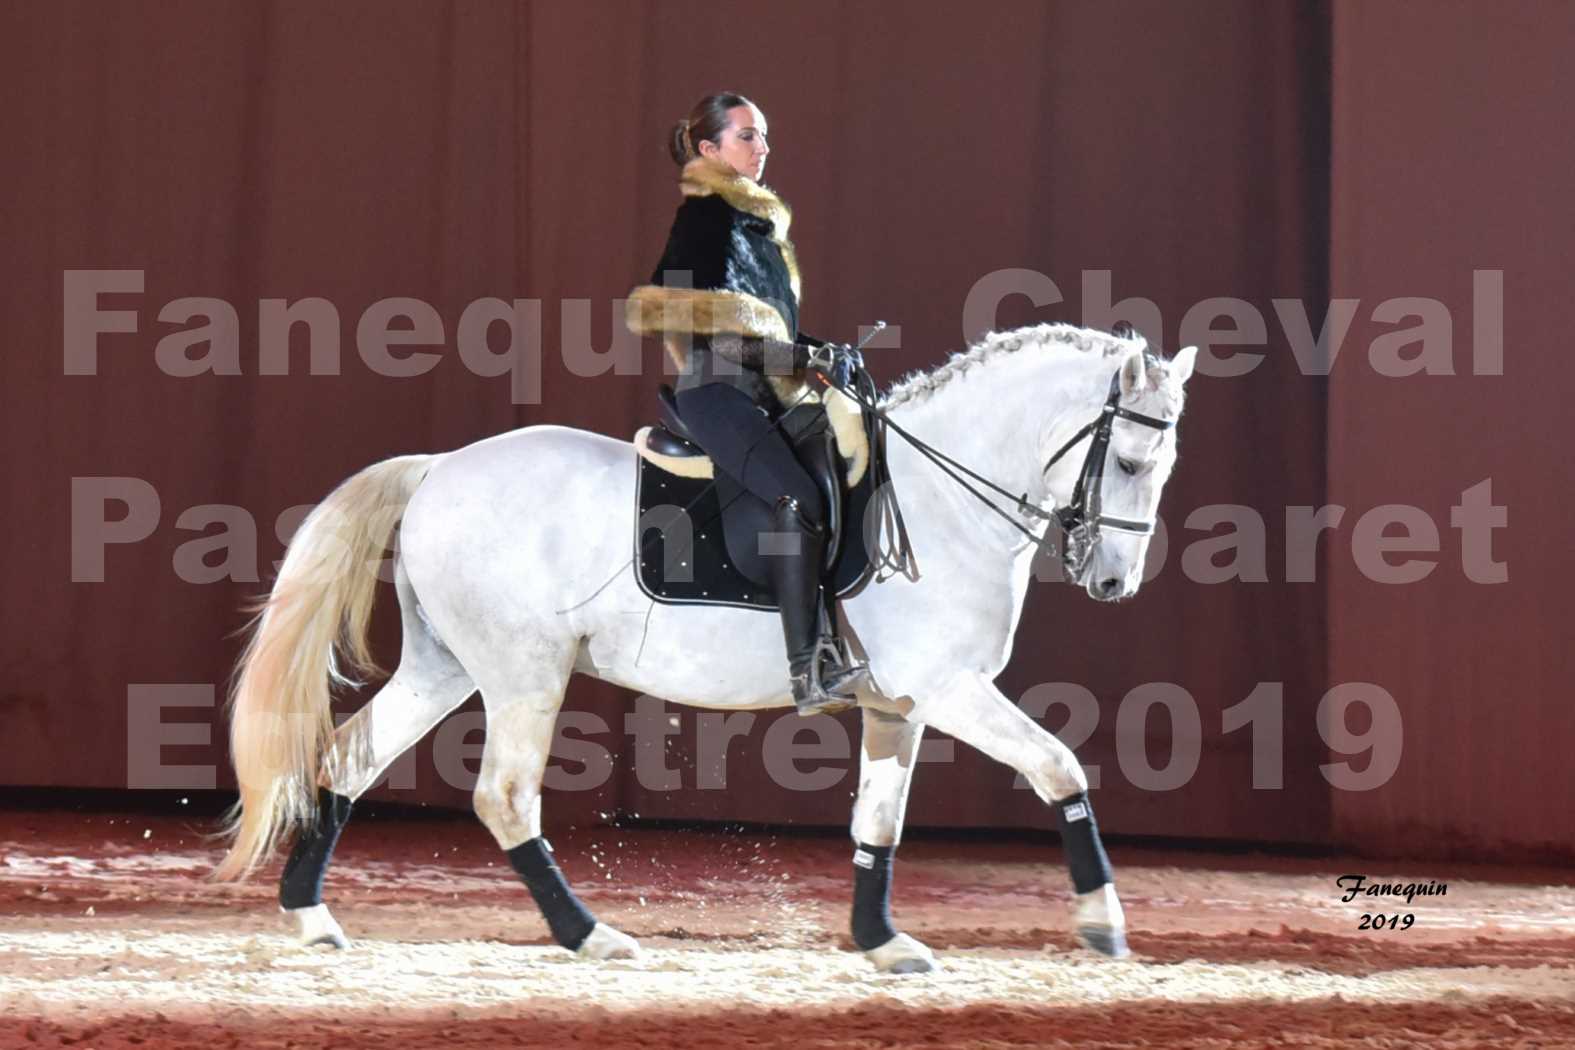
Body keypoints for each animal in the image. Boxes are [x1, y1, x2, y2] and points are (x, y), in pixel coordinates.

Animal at [209, 322, 1190, 976]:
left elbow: (880, 820)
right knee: (505, 797)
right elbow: (1059, 765)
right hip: (525, 673)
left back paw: (313, 919)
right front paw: (1102, 921)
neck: (941, 497)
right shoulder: (944, 687)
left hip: (445, 667)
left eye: (1162, 467)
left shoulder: (898, 702)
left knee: (348, 757)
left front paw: (881, 940)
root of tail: (438, 467)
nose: (1112, 582)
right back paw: (590, 934)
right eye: (1129, 463)